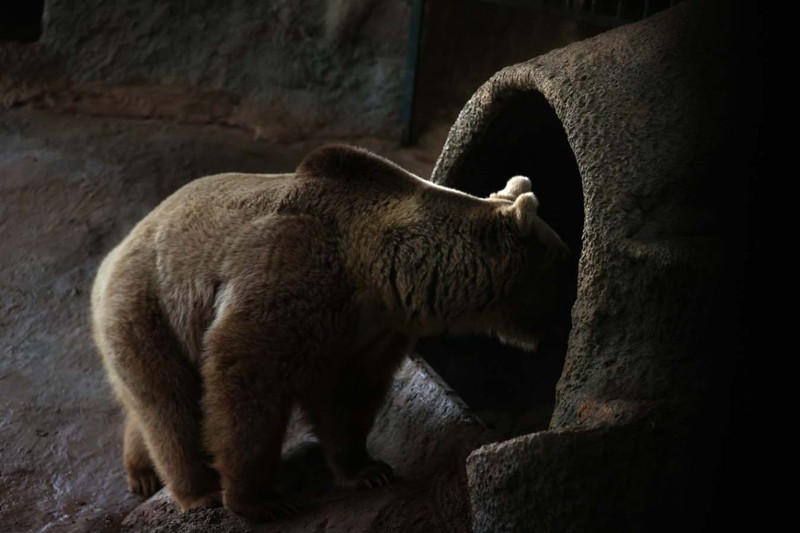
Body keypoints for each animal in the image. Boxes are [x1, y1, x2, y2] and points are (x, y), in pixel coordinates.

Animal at [92, 143, 568, 520]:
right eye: (564, 264)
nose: (565, 320)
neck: (377, 269)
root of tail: (115, 253)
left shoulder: (370, 331)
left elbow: (349, 399)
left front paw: (368, 470)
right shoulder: (293, 279)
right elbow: (245, 378)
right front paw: (259, 500)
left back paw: (143, 473)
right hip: (151, 305)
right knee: (169, 404)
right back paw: (198, 490)